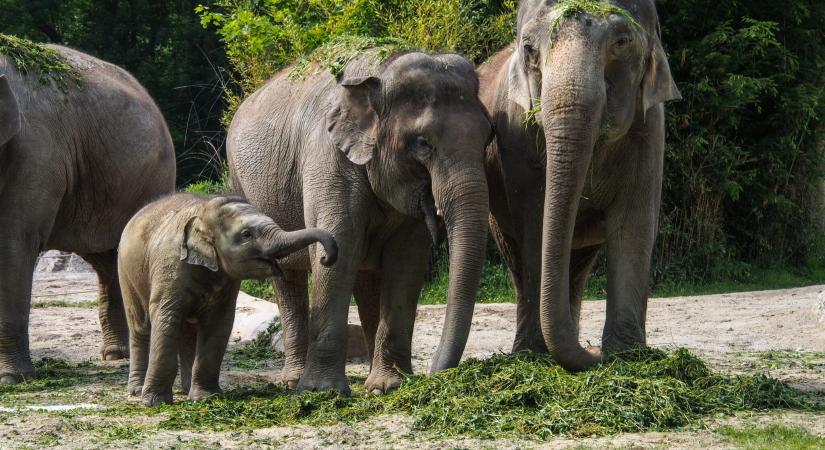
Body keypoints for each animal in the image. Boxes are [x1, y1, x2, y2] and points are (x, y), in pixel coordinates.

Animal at [0, 37, 175, 384]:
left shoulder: (35, 153)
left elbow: (14, 244)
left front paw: (12, 379)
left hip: (155, 177)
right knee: (107, 260)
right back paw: (115, 355)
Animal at [116, 194, 338, 408]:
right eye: (246, 234)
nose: (324, 259)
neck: (205, 211)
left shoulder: (228, 282)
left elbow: (219, 324)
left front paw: (206, 398)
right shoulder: (170, 267)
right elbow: (166, 320)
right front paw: (155, 402)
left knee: (186, 332)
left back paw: (186, 389)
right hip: (126, 273)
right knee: (140, 326)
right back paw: (136, 390)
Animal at [229, 48, 492, 394]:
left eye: (489, 137)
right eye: (423, 143)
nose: (436, 373)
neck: (380, 72)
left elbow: (407, 261)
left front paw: (389, 386)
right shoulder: (328, 160)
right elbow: (338, 246)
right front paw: (323, 391)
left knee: (367, 281)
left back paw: (372, 379)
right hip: (244, 184)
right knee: (287, 280)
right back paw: (293, 382)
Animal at [480, 0, 680, 370]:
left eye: (621, 42)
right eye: (529, 50)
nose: (595, 354)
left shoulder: (649, 129)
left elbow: (633, 225)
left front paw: (628, 356)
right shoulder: (516, 136)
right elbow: (535, 224)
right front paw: (538, 356)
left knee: (578, 264)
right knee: (517, 254)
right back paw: (531, 352)